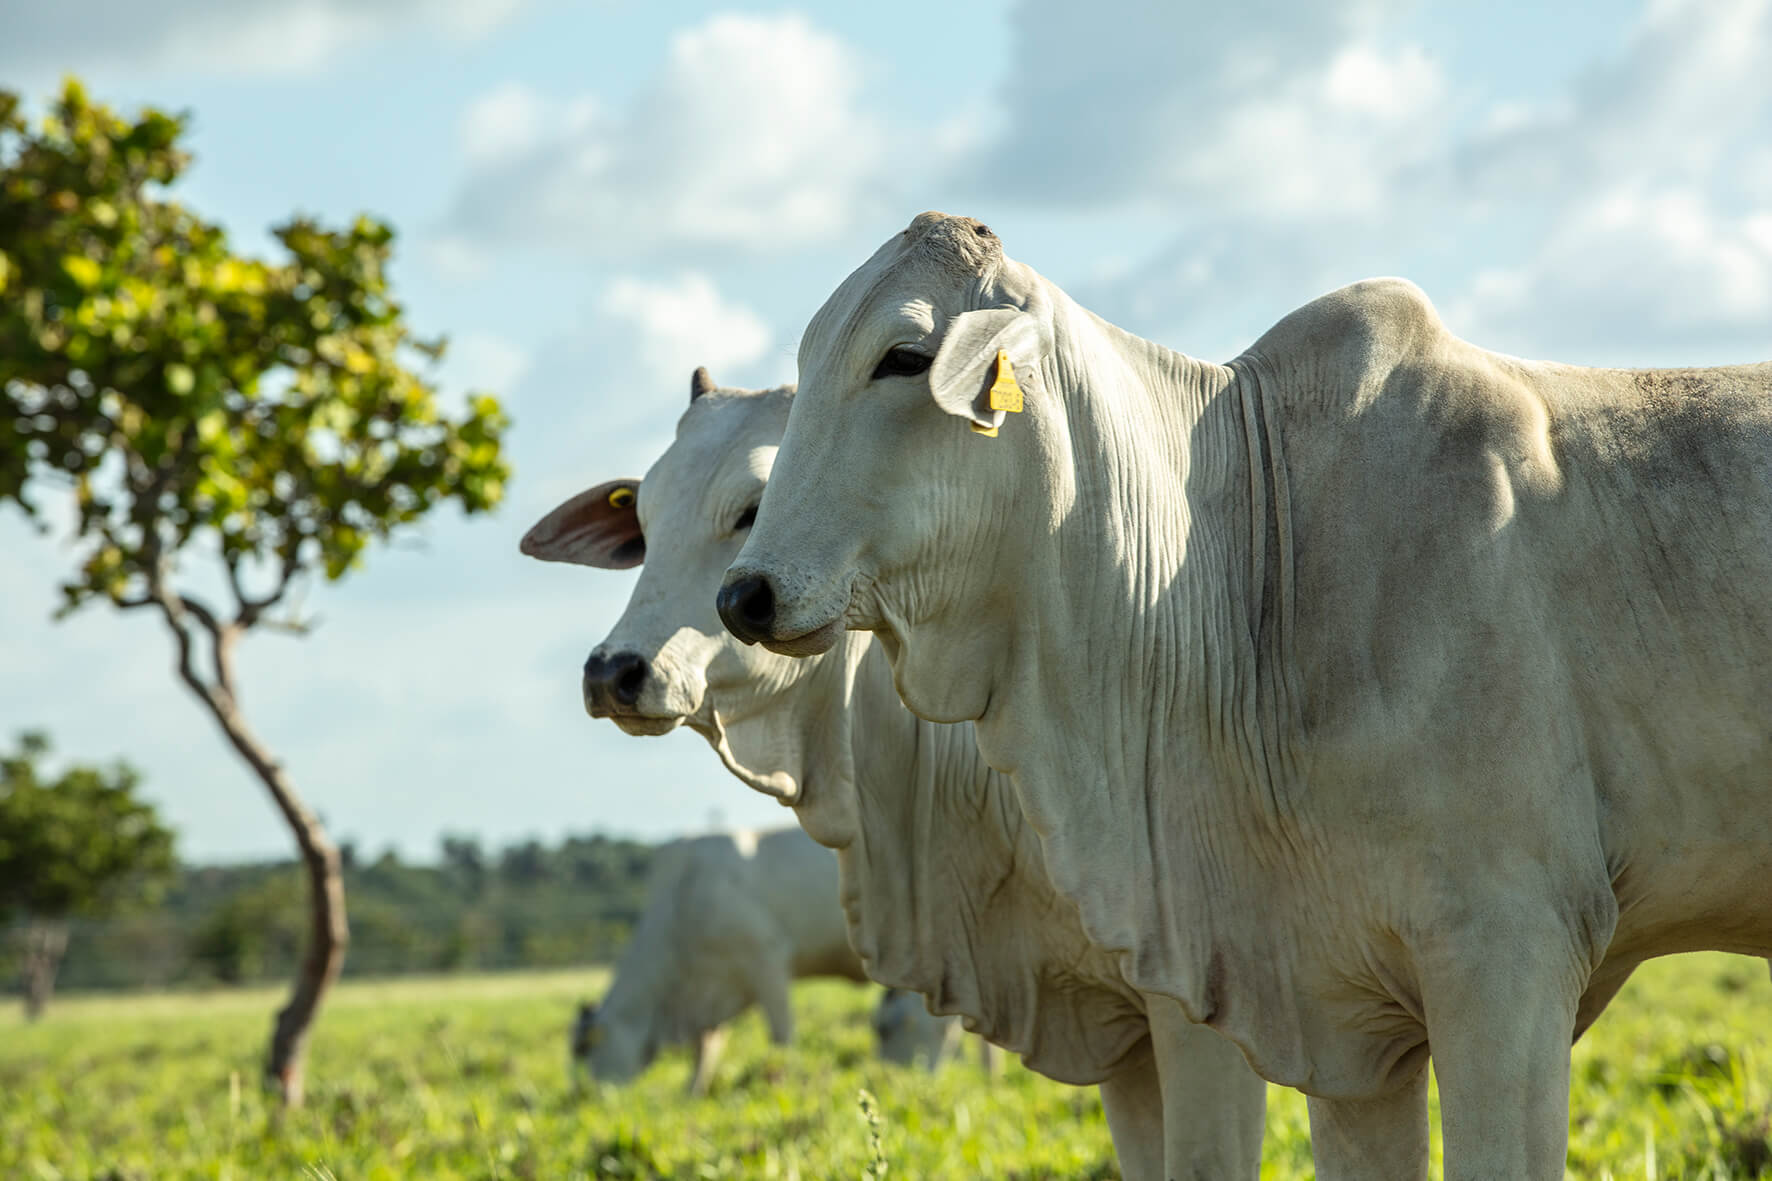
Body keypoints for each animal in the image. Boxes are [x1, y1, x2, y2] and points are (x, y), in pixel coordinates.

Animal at [570, 822, 868, 1092]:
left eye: (587, 1048)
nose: (591, 1097)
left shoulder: (766, 960)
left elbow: (780, 1033)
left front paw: (785, 1080)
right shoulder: (711, 986)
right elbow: (703, 1050)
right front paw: (692, 1092)